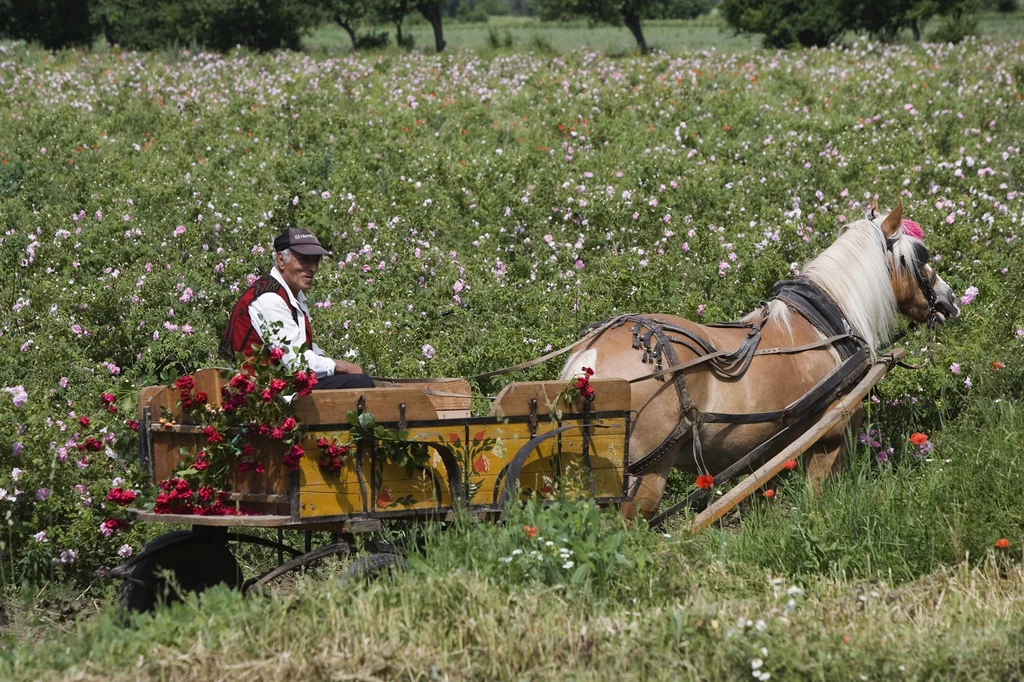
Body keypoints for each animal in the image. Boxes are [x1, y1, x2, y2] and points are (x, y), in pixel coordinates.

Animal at [561, 199, 958, 518]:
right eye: (921, 256)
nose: (950, 298)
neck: (824, 324)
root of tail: (592, 355)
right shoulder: (829, 439)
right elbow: (818, 499)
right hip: (644, 477)